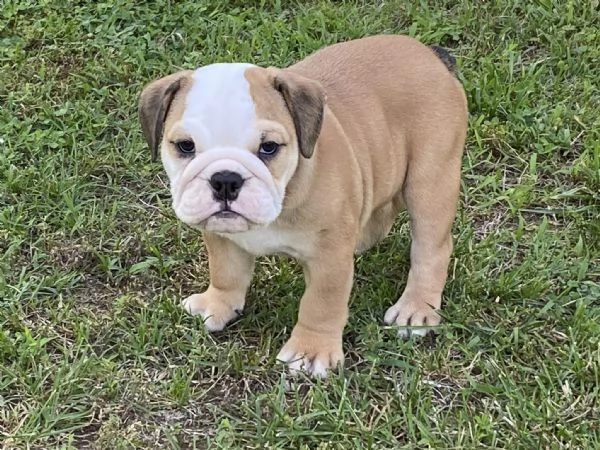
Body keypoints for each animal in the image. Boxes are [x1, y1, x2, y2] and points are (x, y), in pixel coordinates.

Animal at [138, 34, 466, 376]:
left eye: (269, 147)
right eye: (185, 146)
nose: (225, 179)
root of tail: (430, 55)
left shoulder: (328, 260)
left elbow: (320, 304)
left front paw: (312, 351)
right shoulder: (221, 235)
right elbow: (226, 272)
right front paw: (217, 305)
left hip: (430, 178)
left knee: (431, 247)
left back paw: (416, 308)